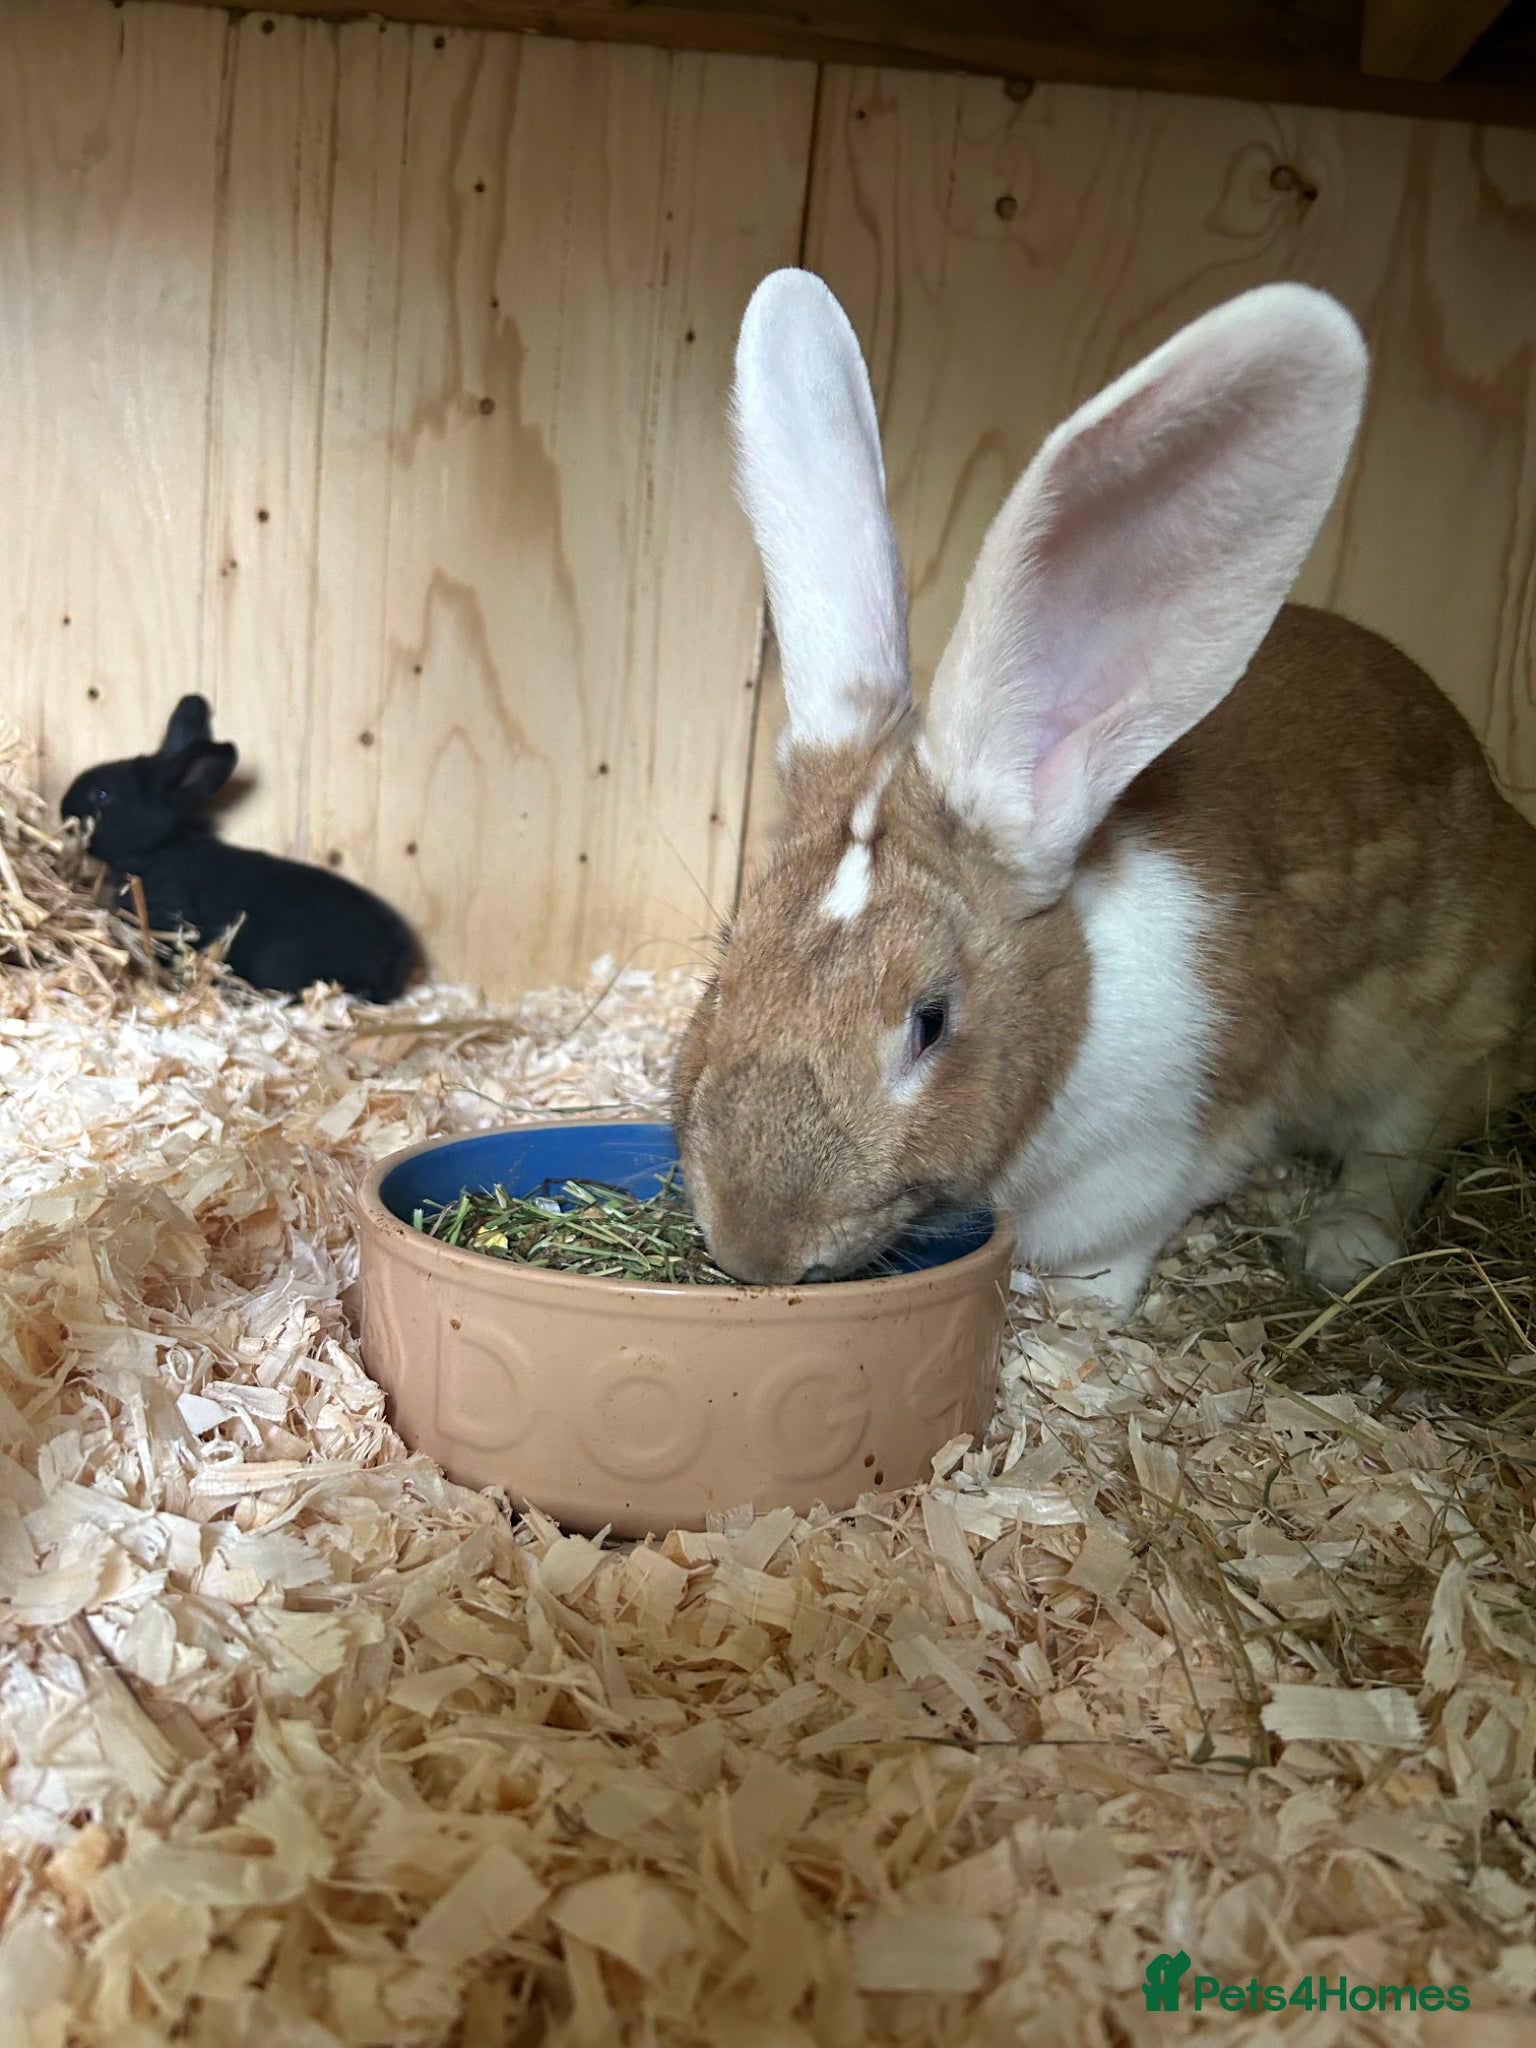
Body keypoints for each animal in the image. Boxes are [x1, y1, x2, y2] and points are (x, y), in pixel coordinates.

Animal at [671, 269, 1536, 1313]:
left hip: (1449, 1029)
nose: (753, 1249)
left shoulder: (1165, 1154)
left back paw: (1343, 1245)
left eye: (931, 1020)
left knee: (1401, 1145)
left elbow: (1118, 1247)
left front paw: (1080, 1304)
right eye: (726, 964)